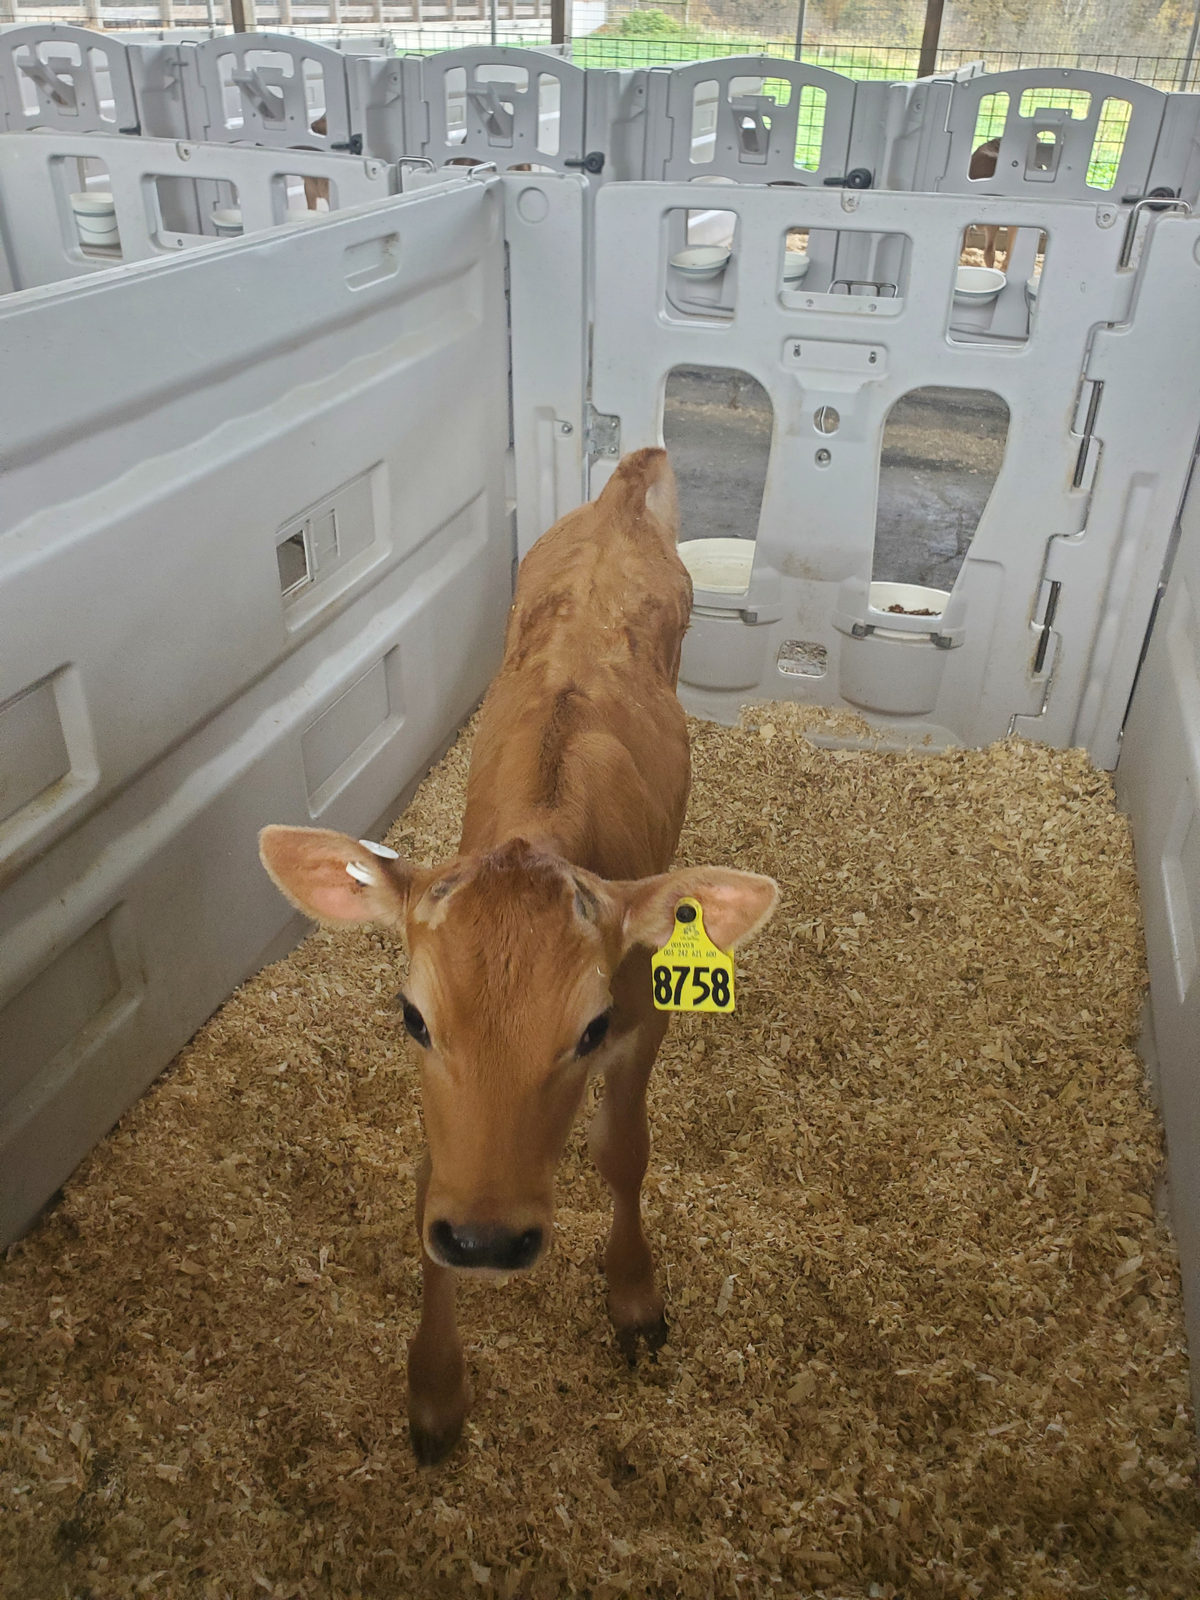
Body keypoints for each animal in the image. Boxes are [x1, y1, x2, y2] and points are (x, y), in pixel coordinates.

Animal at [259, 448, 779, 1464]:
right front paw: (434, 1390)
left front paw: (634, 1298)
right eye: (412, 1017)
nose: (490, 1243)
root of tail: (621, 492)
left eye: (591, 1030)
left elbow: (624, 1154)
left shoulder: (646, 1021)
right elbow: (429, 1182)